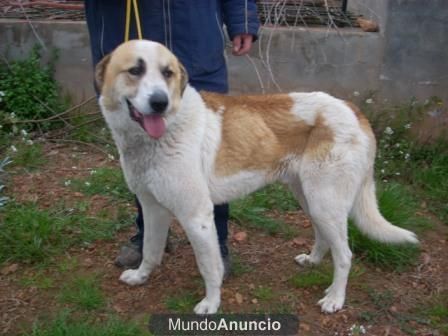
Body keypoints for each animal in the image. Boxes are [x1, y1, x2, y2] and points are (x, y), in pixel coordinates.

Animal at [95, 40, 420, 316]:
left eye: (168, 73)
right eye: (135, 70)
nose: (160, 102)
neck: (160, 135)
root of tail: (353, 109)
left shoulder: (197, 217)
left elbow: (209, 267)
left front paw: (211, 303)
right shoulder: (152, 208)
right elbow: (150, 250)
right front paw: (140, 277)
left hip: (325, 202)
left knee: (345, 255)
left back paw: (335, 298)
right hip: (311, 200)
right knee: (324, 237)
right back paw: (313, 261)